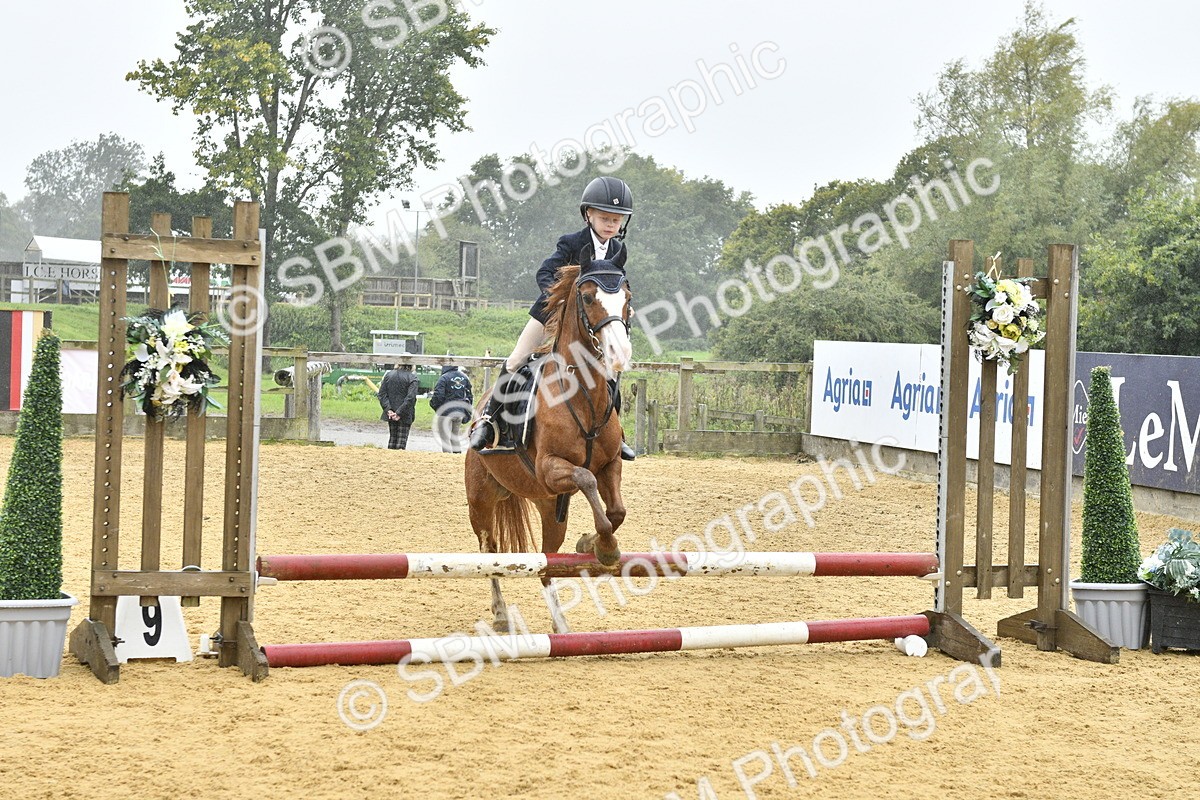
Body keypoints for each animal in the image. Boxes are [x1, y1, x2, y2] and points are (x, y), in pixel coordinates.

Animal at [464, 255, 633, 633]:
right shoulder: (550, 468)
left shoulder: (610, 464)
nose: (619, 353)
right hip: (481, 499)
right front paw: (606, 548)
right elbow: (586, 479)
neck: (583, 396)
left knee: (547, 563)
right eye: (588, 297)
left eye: (627, 298)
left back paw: (560, 625)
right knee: (488, 549)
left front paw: (592, 544)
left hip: (548, 506)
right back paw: (501, 614)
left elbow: (615, 510)